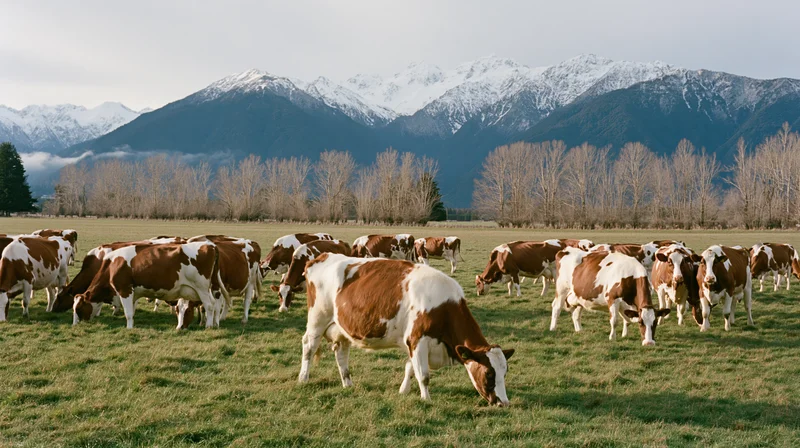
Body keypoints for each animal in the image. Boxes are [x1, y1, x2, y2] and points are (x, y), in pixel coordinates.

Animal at [71, 241, 226, 330]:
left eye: (78, 308)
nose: (74, 325)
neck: (111, 265)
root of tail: (210, 245)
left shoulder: (124, 290)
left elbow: (128, 313)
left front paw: (129, 328)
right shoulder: (133, 293)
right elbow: (132, 311)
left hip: (202, 288)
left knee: (209, 305)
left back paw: (209, 325)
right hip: (213, 288)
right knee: (216, 304)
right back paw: (215, 324)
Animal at [298, 253, 515, 405]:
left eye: (504, 372)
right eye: (489, 374)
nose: (504, 403)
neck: (444, 304)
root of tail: (322, 256)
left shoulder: (413, 342)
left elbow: (410, 368)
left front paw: (403, 391)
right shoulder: (417, 339)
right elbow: (423, 375)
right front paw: (426, 399)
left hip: (341, 329)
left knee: (341, 354)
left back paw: (348, 383)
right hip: (317, 319)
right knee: (308, 347)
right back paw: (303, 378)